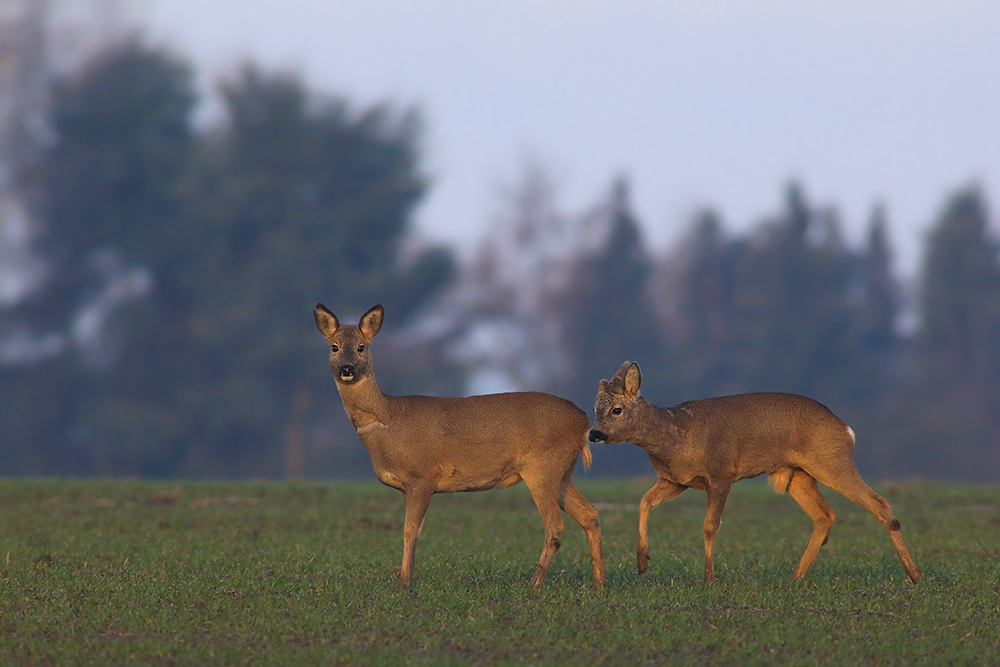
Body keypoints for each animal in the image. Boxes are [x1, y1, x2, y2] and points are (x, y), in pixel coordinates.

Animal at [316, 302, 604, 588]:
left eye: (361, 347)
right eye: (335, 347)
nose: (347, 369)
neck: (388, 419)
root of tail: (583, 420)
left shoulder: (423, 476)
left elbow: (411, 530)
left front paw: (405, 581)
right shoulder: (406, 486)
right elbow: (409, 530)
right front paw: (404, 575)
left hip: (541, 468)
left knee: (555, 526)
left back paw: (535, 583)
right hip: (562, 473)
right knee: (590, 514)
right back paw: (599, 583)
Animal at [584, 360, 920, 584]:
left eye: (616, 410)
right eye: (594, 409)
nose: (594, 434)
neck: (677, 436)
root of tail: (845, 429)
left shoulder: (721, 474)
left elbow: (709, 526)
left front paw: (709, 577)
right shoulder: (675, 480)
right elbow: (644, 503)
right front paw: (642, 563)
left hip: (831, 461)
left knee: (879, 504)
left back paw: (915, 575)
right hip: (797, 475)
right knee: (824, 515)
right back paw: (796, 576)